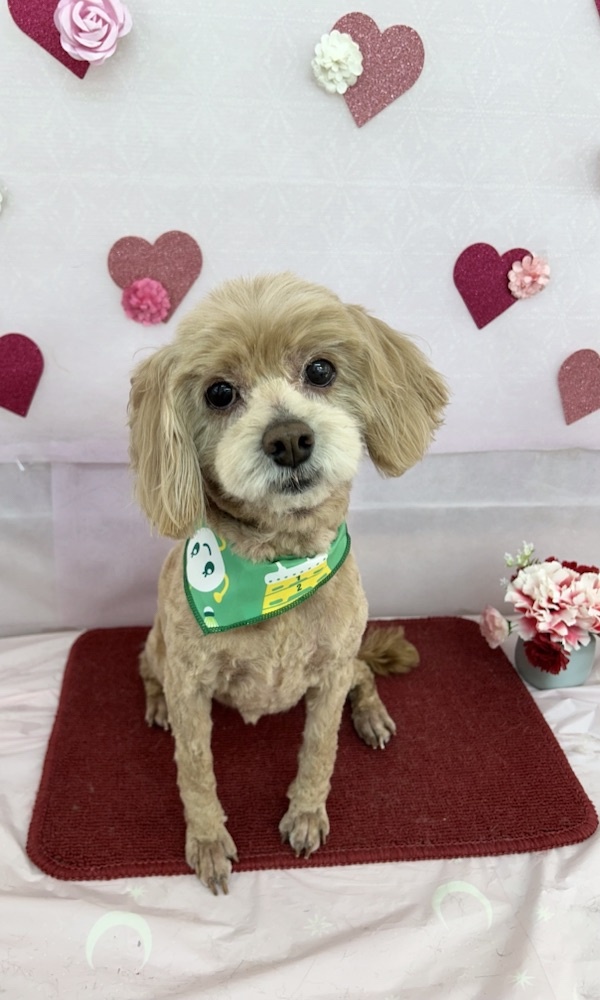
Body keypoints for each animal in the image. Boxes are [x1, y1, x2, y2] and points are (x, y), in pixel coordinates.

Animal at [128, 272, 448, 893]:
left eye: (321, 370)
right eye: (219, 393)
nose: (290, 438)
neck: (277, 565)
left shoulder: (330, 671)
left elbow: (320, 750)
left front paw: (305, 814)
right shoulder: (190, 681)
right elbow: (195, 769)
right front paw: (207, 842)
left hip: (349, 656)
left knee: (363, 675)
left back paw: (371, 714)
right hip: (157, 647)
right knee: (147, 671)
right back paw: (156, 707)